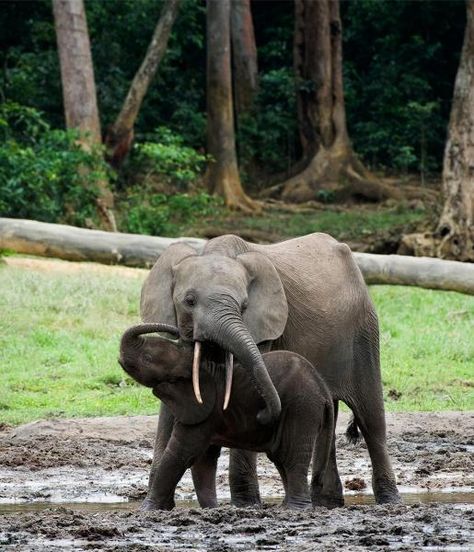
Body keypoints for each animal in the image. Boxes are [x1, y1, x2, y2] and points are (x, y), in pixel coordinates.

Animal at [118, 324, 334, 508]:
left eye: (147, 358)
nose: (177, 331)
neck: (195, 364)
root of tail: (324, 389)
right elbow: (203, 459)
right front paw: (211, 509)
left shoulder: (204, 410)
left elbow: (181, 453)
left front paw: (147, 510)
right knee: (281, 459)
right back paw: (285, 507)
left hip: (302, 407)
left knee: (291, 458)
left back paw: (295, 509)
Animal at [141, 233, 400, 508]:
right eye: (189, 301)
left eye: (244, 306)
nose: (266, 415)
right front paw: (155, 506)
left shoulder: (262, 332)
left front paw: (246, 505)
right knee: (328, 424)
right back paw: (327, 503)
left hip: (364, 333)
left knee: (371, 419)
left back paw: (389, 501)